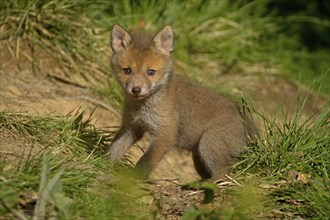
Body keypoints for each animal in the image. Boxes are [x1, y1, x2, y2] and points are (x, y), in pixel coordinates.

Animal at [104, 24, 256, 181]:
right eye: (127, 70)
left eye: (151, 72)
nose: (136, 89)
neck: (141, 108)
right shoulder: (131, 128)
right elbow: (113, 150)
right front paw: (100, 165)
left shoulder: (165, 135)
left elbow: (144, 162)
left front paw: (134, 179)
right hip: (198, 157)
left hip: (208, 144)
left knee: (223, 174)